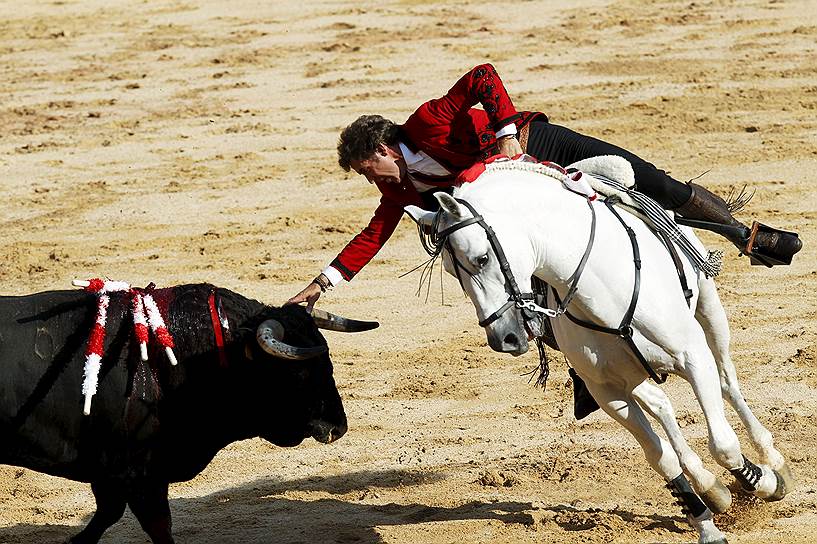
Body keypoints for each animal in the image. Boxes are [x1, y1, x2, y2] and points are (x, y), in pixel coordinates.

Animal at [1, 284, 356, 544]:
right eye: (298, 372)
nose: (337, 427)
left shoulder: (124, 472)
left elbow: (111, 513)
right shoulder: (135, 471)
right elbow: (152, 524)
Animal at [406, 159, 792, 544]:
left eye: (483, 258)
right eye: (451, 271)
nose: (505, 339)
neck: (602, 290)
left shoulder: (692, 356)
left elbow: (723, 444)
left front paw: (765, 482)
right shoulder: (608, 393)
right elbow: (660, 457)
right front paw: (707, 524)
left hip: (710, 311)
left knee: (727, 383)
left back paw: (770, 459)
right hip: (635, 376)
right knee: (662, 407)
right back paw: (712, 486)